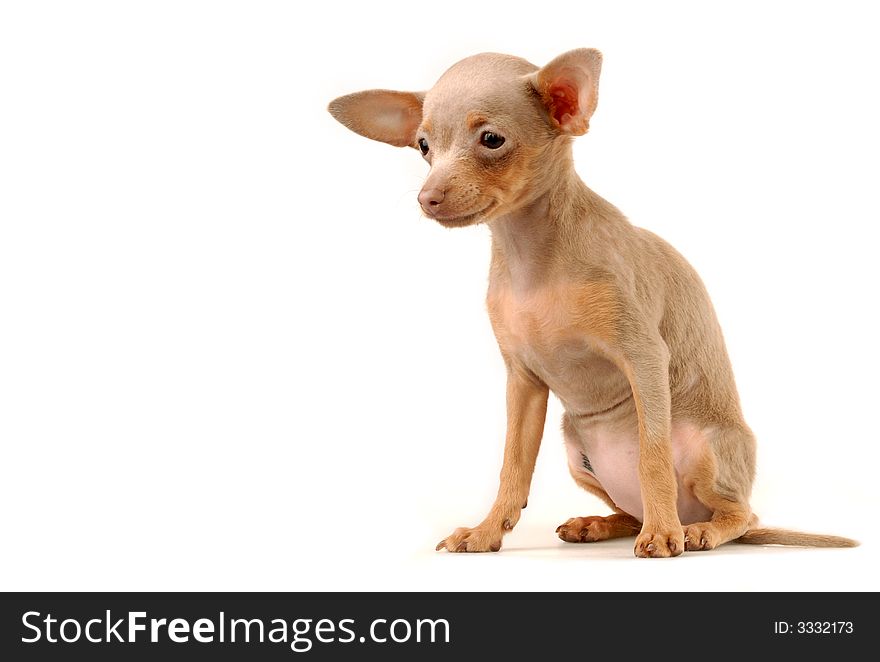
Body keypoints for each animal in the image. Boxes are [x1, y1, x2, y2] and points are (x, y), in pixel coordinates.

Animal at [326, 49, 856, 556]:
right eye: (423, 147)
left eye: (492, 140)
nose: (427, 198)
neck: (531, 257)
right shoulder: (523, 383)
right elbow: (512, 466)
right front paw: (487, 531)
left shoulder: (645, 357)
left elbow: (652, 457)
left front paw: (663, 538)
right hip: (574, 446)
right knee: (630, 511)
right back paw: (600, 523)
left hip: (706, 448)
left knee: (740, 514)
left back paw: (689, 529)